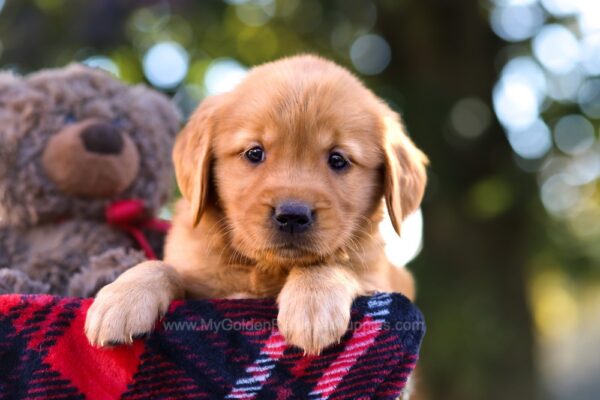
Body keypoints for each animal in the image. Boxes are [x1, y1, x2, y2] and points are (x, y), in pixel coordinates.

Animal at [86, 54, 428, 354]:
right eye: (254, 153)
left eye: (338, 160)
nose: (292, 216)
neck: (267, 269)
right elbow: (163, 266)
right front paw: (123, 298)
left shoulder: (384, 280)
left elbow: (332, 264)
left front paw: (312, 303)